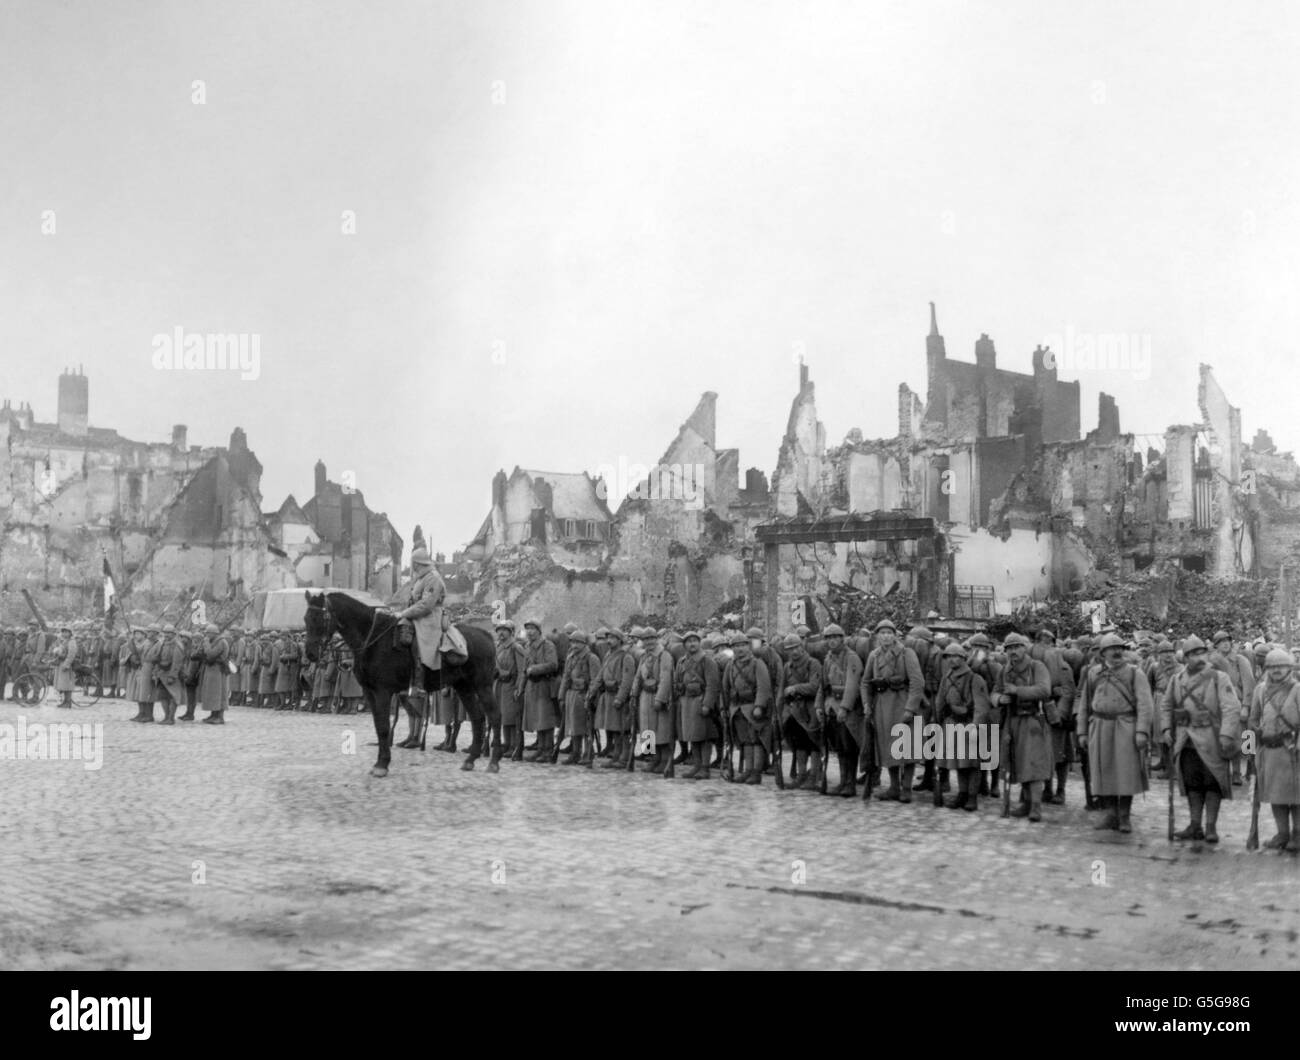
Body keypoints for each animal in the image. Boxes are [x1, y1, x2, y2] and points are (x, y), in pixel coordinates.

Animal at [305, 593, 501, 775]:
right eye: (306, 618)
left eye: (321, 618)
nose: (310, 654)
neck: (372, 638)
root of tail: (487, 636)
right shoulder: (370, 692)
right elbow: (378, 726)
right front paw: (380, 761)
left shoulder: (382, 692)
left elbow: (384, 727)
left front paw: (382, 764)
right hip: (464, 687)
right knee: (478, 718)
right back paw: (471, 759)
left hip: (482, 686)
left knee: (494, 716)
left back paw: (494, 761)